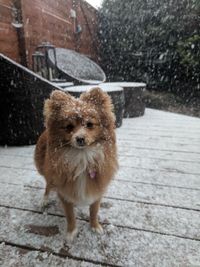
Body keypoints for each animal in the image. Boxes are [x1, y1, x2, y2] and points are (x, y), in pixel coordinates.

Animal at [34, 88, 119, 243]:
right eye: (69, 127)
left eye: (89, 124)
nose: (80, 138)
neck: (83, 157)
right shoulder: (64, 191)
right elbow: (70, 215)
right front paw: (71, 232)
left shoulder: (97, 188)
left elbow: (94, 210)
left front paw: (95, 226)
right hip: (48, 172)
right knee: (48, 185)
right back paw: (44, 200)